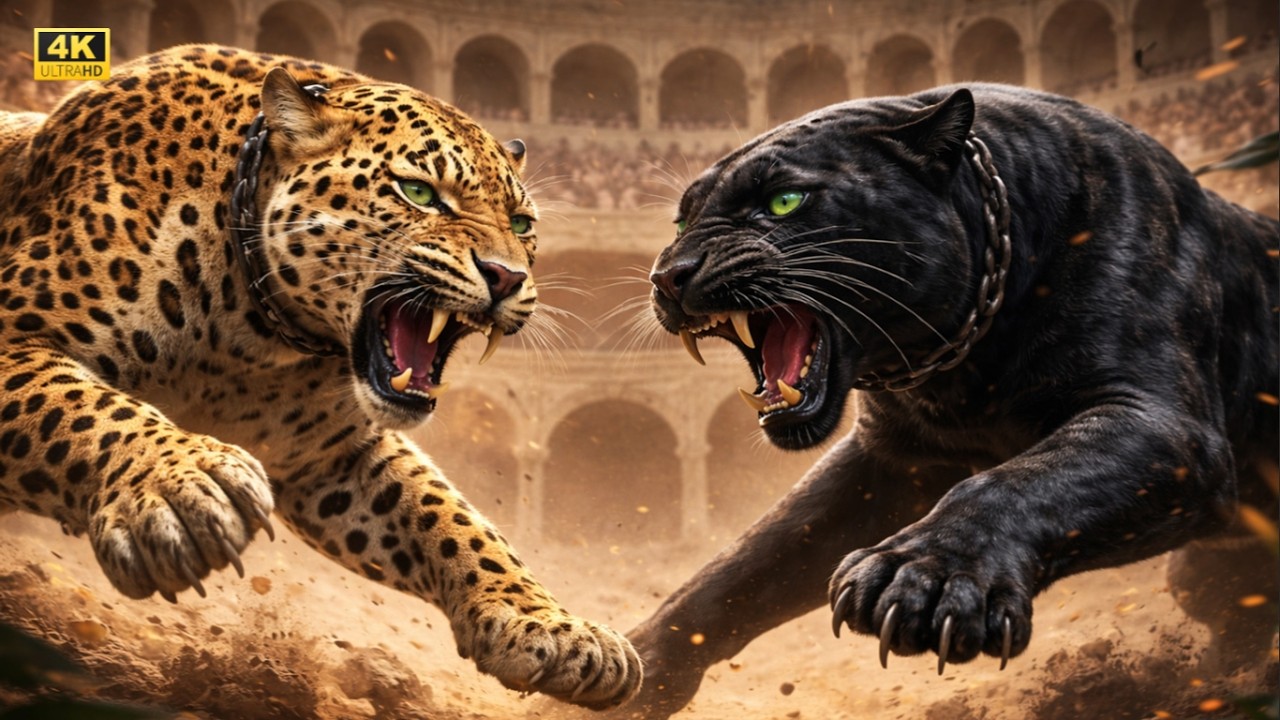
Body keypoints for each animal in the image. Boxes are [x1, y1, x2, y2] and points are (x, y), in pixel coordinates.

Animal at [0, 44, 640, 710]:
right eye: (418, 192)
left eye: (520, 224)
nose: (507, 276)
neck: (250, 335)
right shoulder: (14, 336)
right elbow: (83, 406)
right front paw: (179, 485)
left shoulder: (331, 458)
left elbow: (450, 516)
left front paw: (549, 627)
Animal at [626, 84, 1278, 717]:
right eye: (680, 225)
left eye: (785, 201)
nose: (669, 275)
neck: (959, 366)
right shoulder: (889, 461)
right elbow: (750, 558)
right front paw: (641, 667)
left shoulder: (1165, 426)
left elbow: (1019, 480)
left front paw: (927, 580)